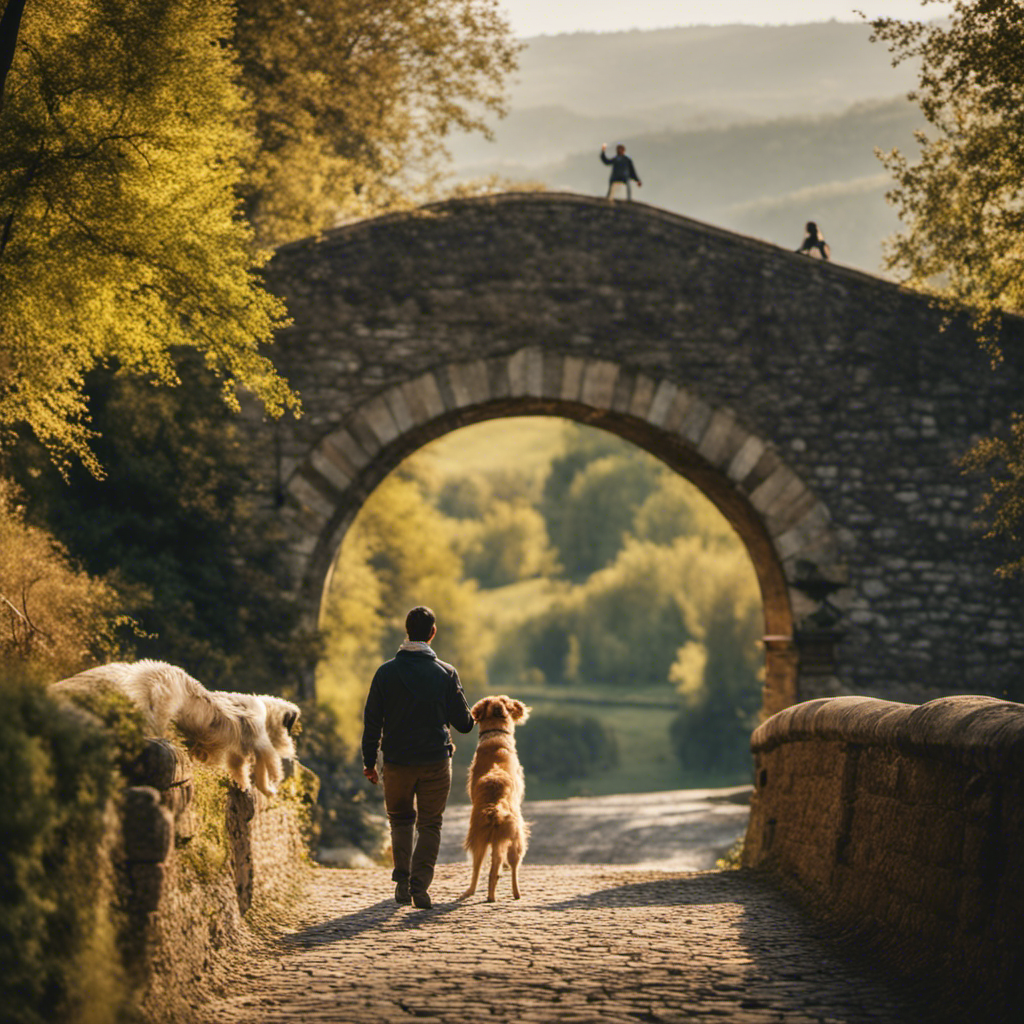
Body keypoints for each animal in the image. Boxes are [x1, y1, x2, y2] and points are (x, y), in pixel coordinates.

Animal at [51, 655, 299, 798]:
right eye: (290, 728)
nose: (291, 745)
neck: (266, 711)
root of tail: (147, 670)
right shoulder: (261, 741)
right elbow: (270, 765)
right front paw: (271, 787)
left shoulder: (239, 753)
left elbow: (243, 769)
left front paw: (245, 786)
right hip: (163, 706)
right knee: (152, 724)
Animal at [460, 696, 532, 905]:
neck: (496, 735)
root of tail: (495, 808)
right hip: (515, 838)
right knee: (507, 867)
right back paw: (513, 893)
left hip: (479, 839)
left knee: (482, 870)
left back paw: (479, 893)